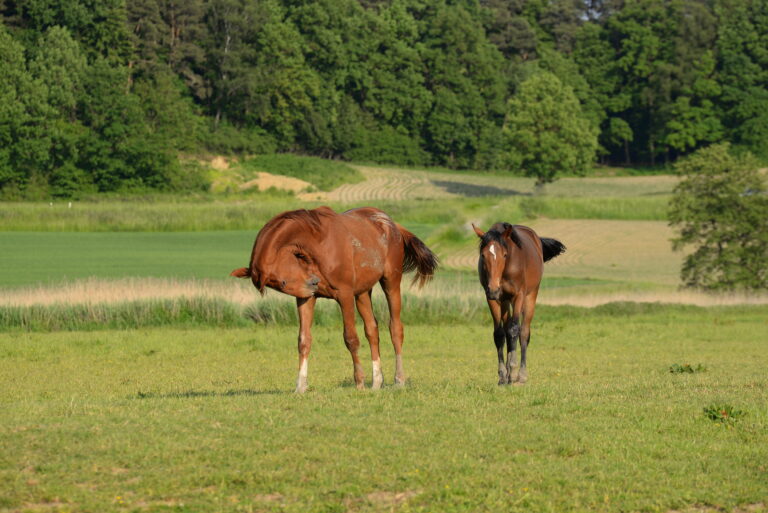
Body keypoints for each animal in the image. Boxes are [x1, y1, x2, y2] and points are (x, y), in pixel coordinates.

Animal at [231, 206, 438, 393]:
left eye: (282, 281)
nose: (314, 282)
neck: (318, 243)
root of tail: (392, 224)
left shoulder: (344, 295)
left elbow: (351, 338)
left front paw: (359, 382)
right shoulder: (305, 298)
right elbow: (304, 340)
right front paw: (300, 386)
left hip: (391, 282)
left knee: (395, 329)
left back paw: (398, 380)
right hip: (363, 293)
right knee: (372, 330)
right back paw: (377, 382)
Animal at [472, 222, 565, 385]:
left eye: (504, 254)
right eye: (483, 255)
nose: (493, 288)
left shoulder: (518, 295)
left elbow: (515, 329)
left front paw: (513, 369)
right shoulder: (493, 298)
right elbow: (499, 334)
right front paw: (503, 375)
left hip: (529, 297)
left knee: (523, 332)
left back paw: (521, 375)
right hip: (504, 301)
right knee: (507, 330)